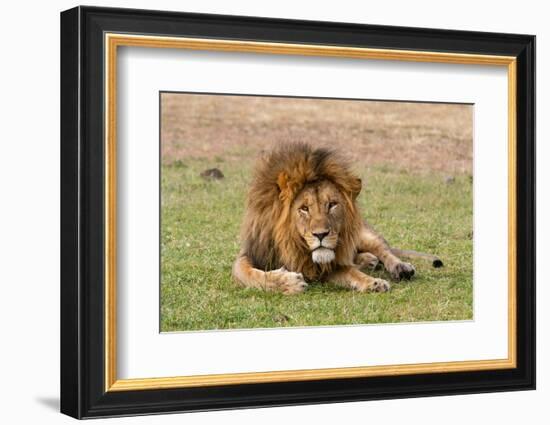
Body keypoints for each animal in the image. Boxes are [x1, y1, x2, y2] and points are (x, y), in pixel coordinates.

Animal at [233, 144, 444, 294]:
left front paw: (374, 283)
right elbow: (248, 273)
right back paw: (368, 260)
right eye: (304, 209)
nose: (321, 235)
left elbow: (351, 272)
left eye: (332, 204)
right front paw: (288, 282)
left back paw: (399, 267)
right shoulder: (251, 253)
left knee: (383, 250)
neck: (292, 246)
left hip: (363, 234)